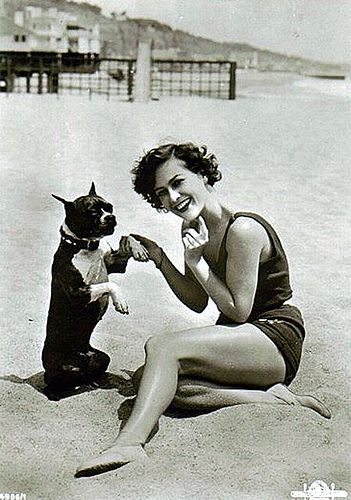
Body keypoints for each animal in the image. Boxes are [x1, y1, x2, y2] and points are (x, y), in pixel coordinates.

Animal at [42, 183, 148, 398]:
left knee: (88, 372)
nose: (111, 217)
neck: (87, 245)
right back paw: (60, 392)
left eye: (110, 207)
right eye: (93, 212)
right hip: (62, 368)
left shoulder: (116, 263)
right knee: (54, 383)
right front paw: (120, 301)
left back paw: (92, 381)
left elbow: (127, 238)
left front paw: (138, 247)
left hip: (102, 358)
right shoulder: (78, 292)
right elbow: (109, 285)